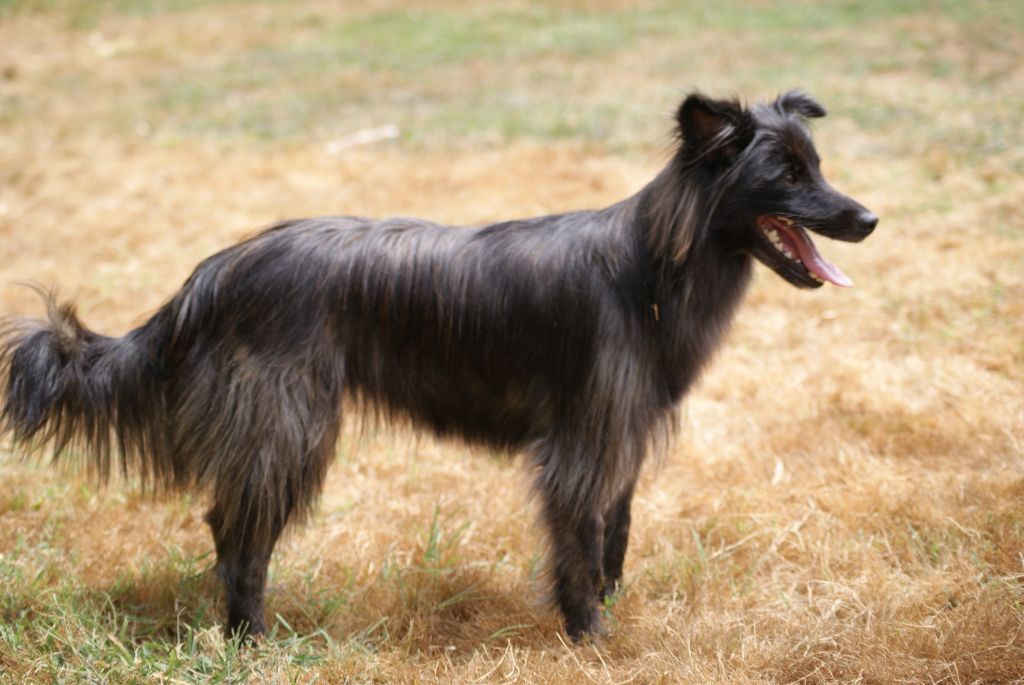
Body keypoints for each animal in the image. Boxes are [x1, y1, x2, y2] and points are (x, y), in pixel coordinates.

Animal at [2, 90, 880, 643]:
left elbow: (617, 533)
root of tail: (212, 273)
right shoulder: (581, 444)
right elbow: (580, 539)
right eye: (786, 175)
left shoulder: (621, 437)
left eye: (817, 164)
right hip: (290, 426)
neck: (652, 272)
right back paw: (252, 639)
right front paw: (588, 634)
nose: (870, 218)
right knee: (238, 530)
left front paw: (614, 609)